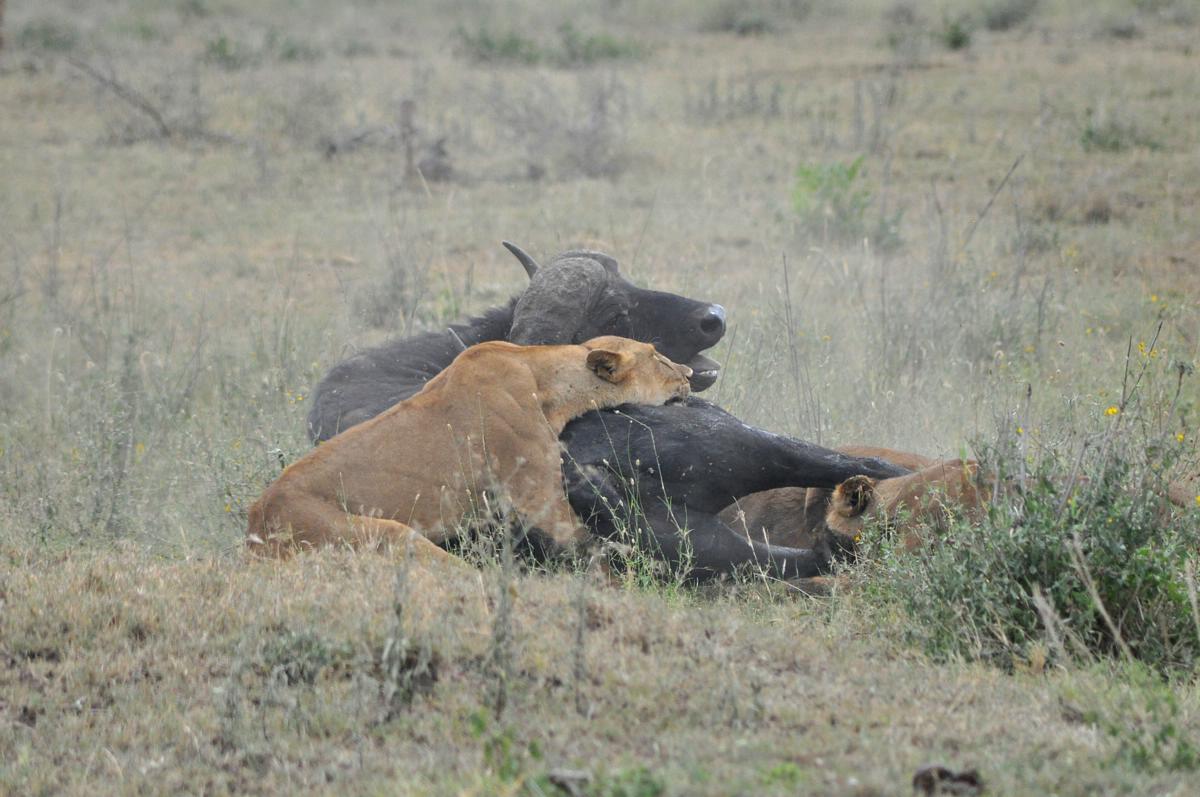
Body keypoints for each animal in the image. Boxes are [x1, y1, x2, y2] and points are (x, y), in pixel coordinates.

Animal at [247, 336, 692, 562]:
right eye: (658, 358)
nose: (689, 373)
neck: (544, 378)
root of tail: (253, 527)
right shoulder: (538, 495)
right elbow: (591, 544)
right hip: (387, 534)